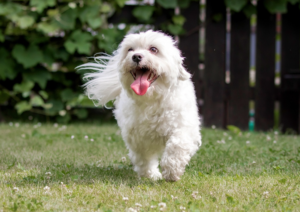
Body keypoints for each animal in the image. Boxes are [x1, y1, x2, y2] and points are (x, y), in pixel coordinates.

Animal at [79, 29, 202, 181]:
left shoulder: (184, 127)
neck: (152, 99)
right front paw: (150, 174)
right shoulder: (138, 138)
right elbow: (143, 158)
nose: (136, 56)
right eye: (130, 49)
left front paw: (172, 171)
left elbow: (177, 145)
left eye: (154, 49)